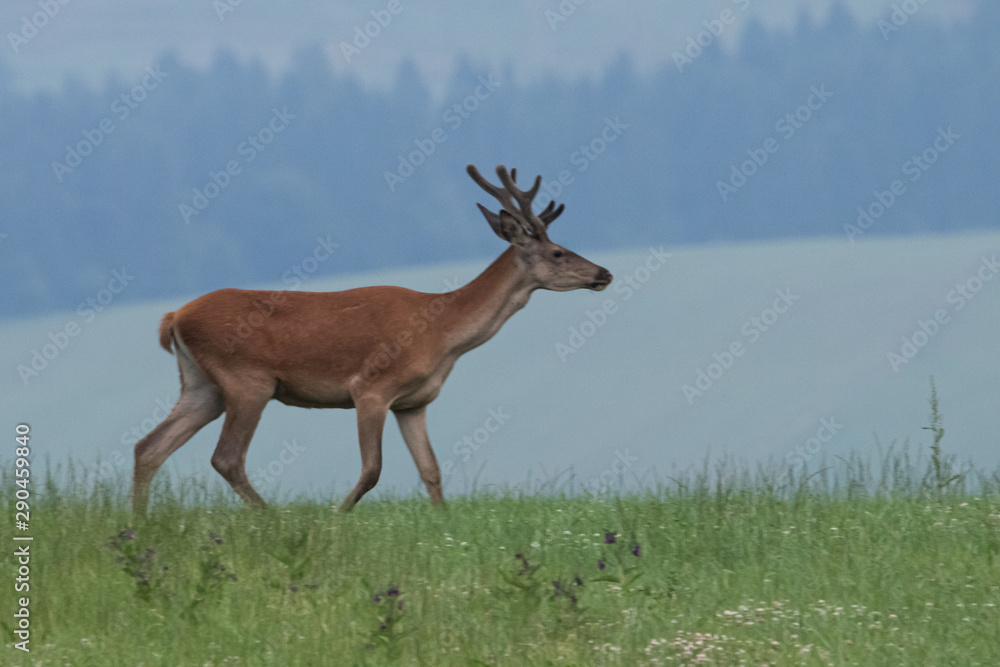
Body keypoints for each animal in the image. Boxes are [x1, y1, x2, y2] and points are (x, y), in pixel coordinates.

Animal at [132, 164, 608, 516]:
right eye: (558, 252)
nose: (604, 273)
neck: (443, 335)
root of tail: (174, 317)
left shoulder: (414, 402)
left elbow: (431, 470)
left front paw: (443, 523)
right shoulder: (371, 387)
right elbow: (372, 469)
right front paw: (337, 515)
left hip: (202, 384)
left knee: (149, 446)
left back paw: (141, 523)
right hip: (247, 380)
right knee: (226, 457)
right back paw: (271, 519)